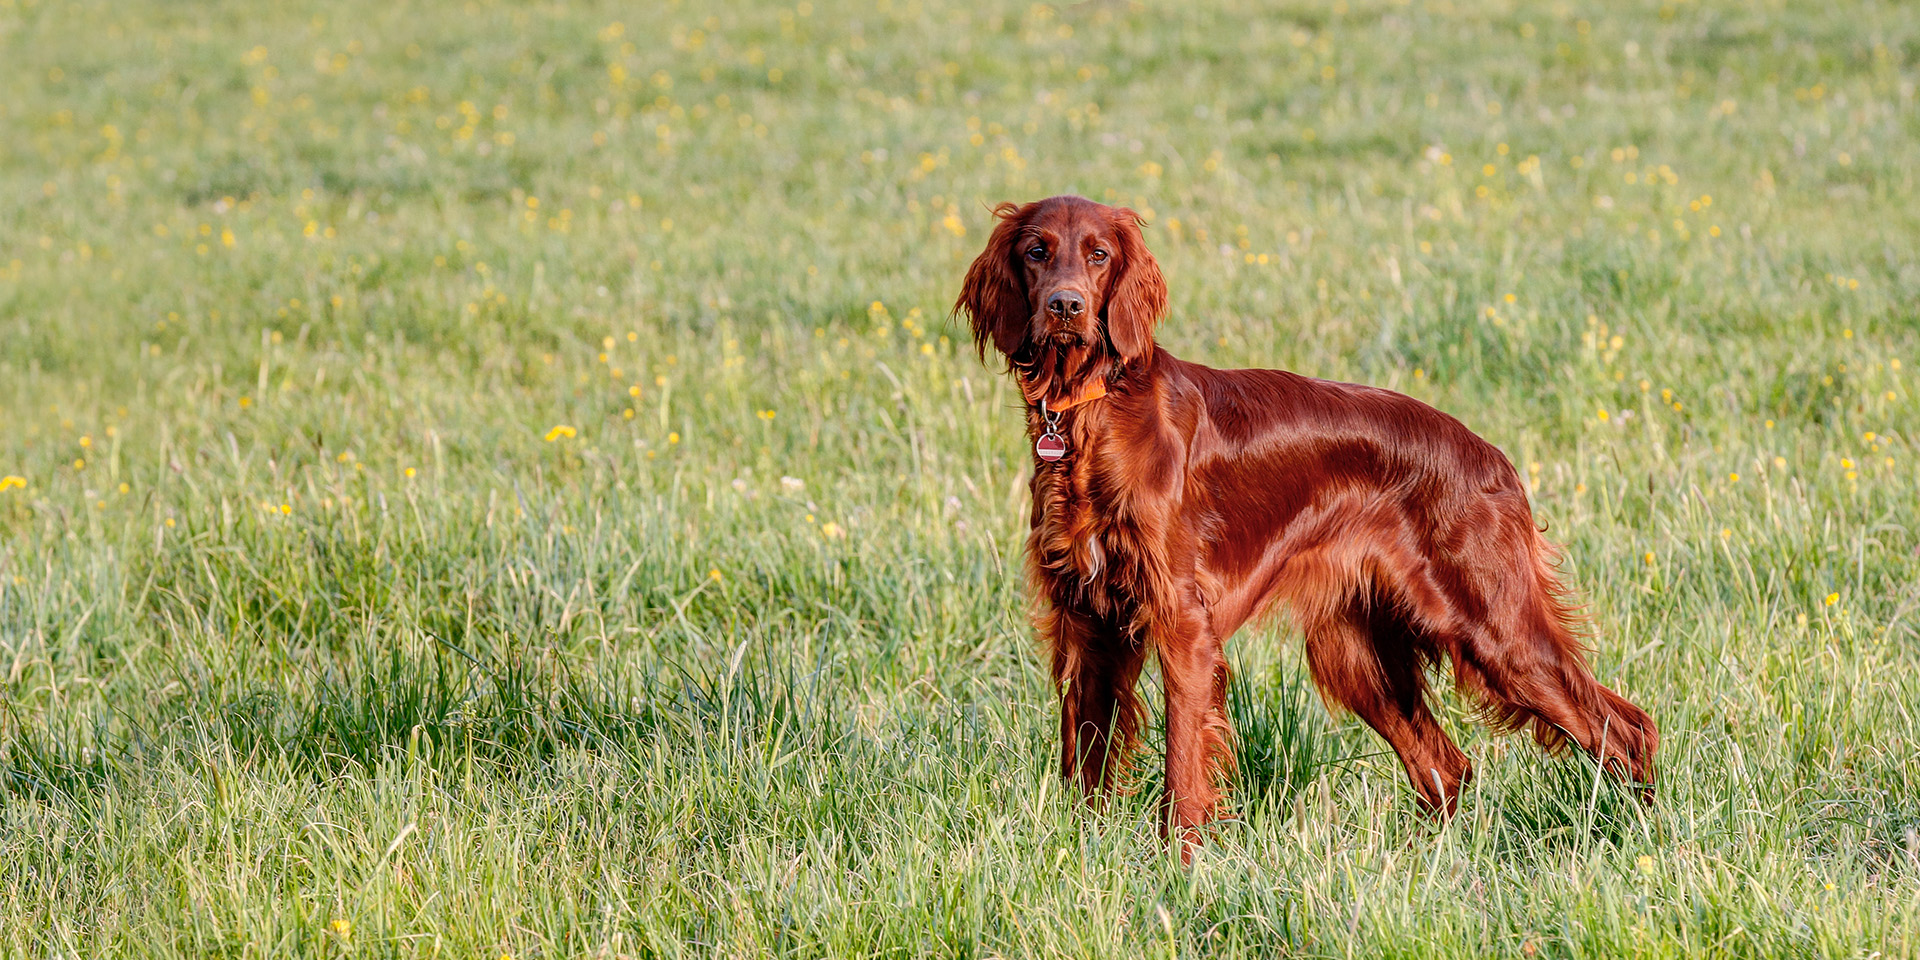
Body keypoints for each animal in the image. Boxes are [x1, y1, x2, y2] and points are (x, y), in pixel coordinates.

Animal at [952, 194, 1658, 848]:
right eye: (1036, 251)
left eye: (1098, 254)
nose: (1066, 307)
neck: (1092, 414)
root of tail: (1492, 456)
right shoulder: (1086, 621)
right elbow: (1086, 759)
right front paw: (1084, 846)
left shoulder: (1182, 621)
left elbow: (1183, 764)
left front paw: (1180, 862)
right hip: (1357, 654)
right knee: (1446, 766)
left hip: (1493, 627)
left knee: (1626, 730)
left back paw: (1640, 836)